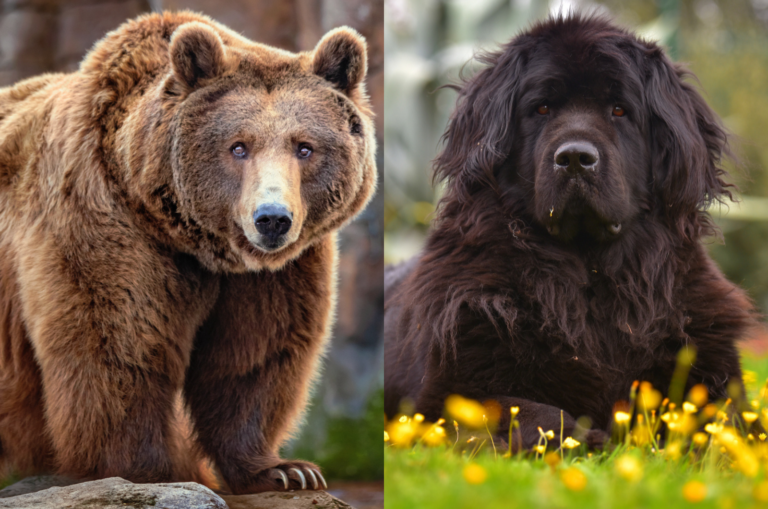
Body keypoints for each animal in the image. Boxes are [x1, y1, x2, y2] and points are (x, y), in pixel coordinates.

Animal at [0, 11, 376, 494]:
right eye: (238, 146)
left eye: (305, 147)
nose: (272, 218)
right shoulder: (102, 221)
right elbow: (118, 346)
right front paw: (150, 471)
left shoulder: (272, 273)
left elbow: (254, 357)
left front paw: (285, 470)